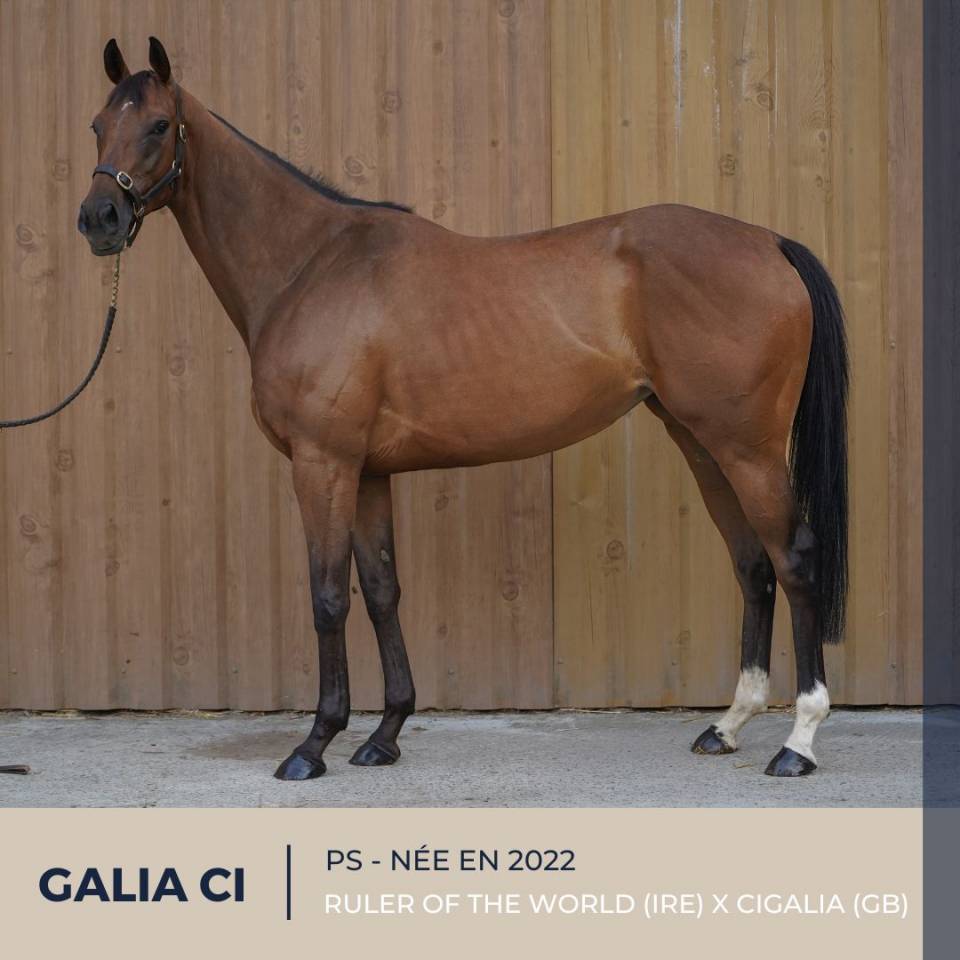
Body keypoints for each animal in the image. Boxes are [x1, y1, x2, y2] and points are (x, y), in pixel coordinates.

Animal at [78, 38, 848, 781]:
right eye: (96, 125)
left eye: (158, 125)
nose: (98, 219)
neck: (310, 265)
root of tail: (769, 242)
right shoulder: (367, 473)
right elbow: (381, 590)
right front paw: (383, 736)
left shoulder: (322, 464)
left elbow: (328, 597)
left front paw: (315, 745)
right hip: (702, 442)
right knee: (752, 564)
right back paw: (727, 726)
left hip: (747, 449)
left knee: (794, 558)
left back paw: (799, 743)